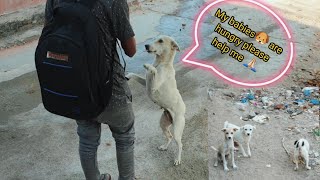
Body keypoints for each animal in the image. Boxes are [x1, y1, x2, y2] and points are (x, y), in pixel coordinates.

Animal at [127, 35, 185, 166]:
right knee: (169, 137)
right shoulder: (146, 83)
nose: (146, 46)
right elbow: (136, 76)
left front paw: (148, 66)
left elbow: (153, 70)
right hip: (163, 124)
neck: (162, 63)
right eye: (156, 39)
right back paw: (164, 147)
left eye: (161, 41)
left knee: (180, 144)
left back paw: (178, 159)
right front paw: (128, 75)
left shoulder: (154, 86)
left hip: (177, 129)